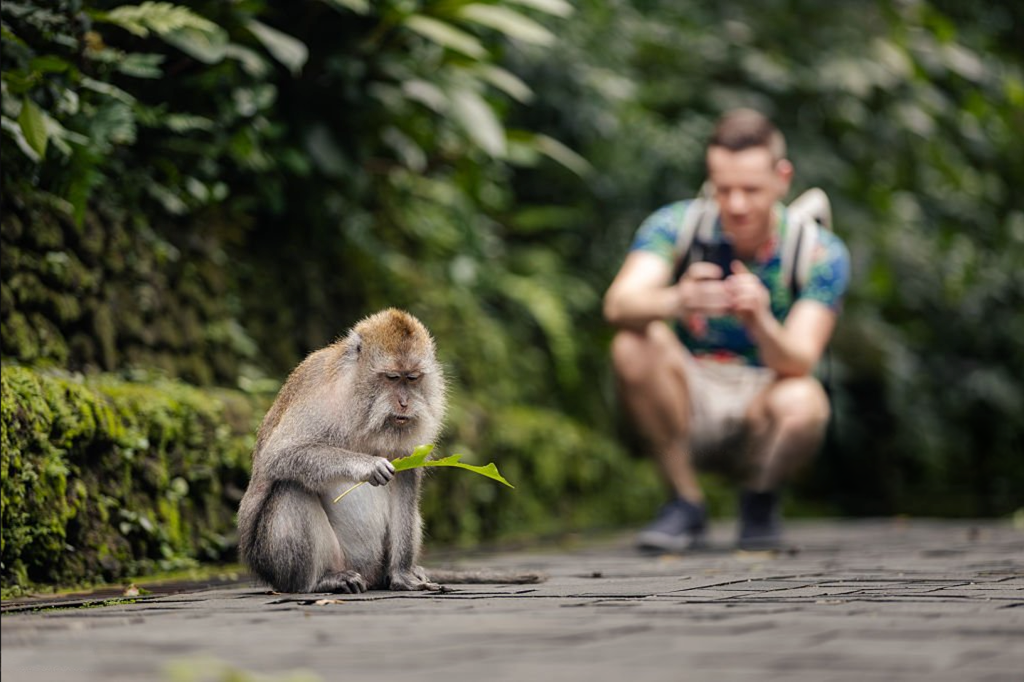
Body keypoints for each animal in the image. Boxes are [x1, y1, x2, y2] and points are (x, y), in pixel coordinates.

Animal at [237, 308, 448, 593]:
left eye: (413, 378)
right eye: (393, 377)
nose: (404, 403)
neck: (362, 406)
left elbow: (405, 478)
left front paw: (403, 574)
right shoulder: (320, 398)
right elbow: (279, 455)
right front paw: (368, 465)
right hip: (276, 563)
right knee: (290, 488)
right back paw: (319, 581)